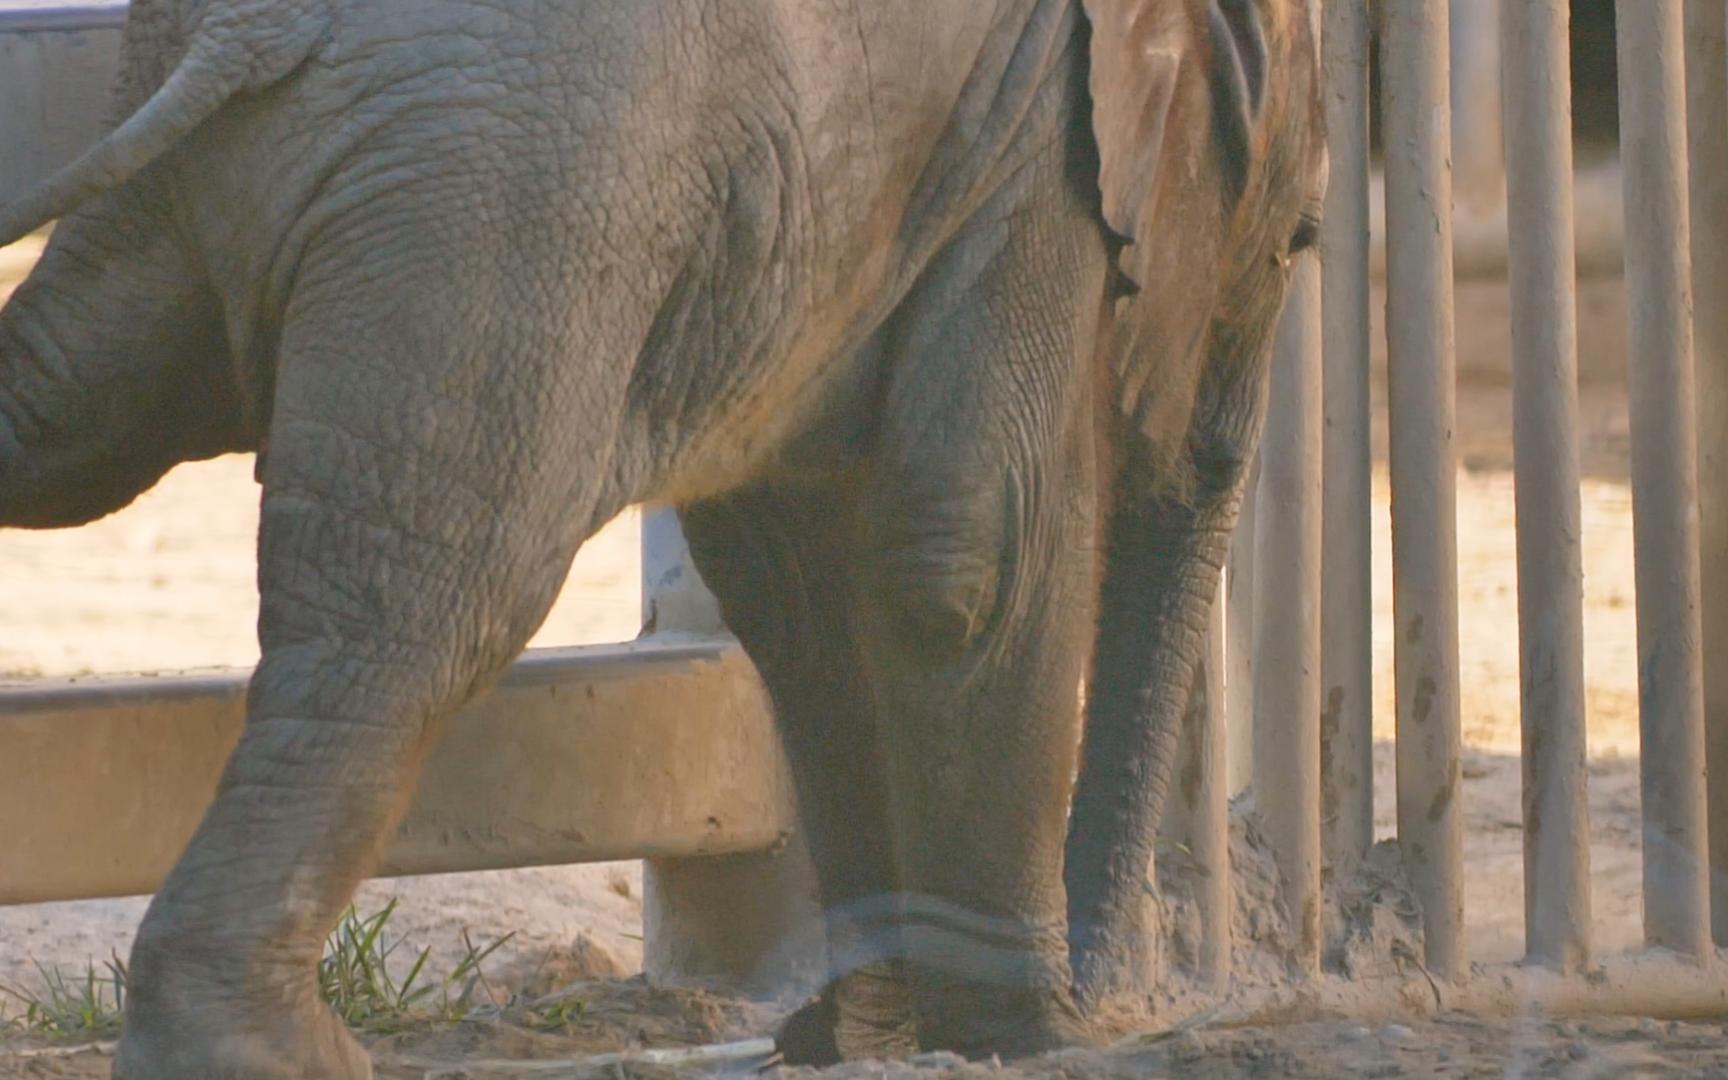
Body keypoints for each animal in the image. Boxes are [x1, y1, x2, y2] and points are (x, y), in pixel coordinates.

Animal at [0, 0, 1323, 1074]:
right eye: (1300, 241)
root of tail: (248, 30)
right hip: (513, 208)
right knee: (428, 595)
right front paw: (1028, 1038)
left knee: (60, 416)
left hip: (211, 189)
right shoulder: (1036, 144)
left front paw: (861, 1032)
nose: (1129, 1003)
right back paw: (267, 1056)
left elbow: (797, 596)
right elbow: (967, 555)